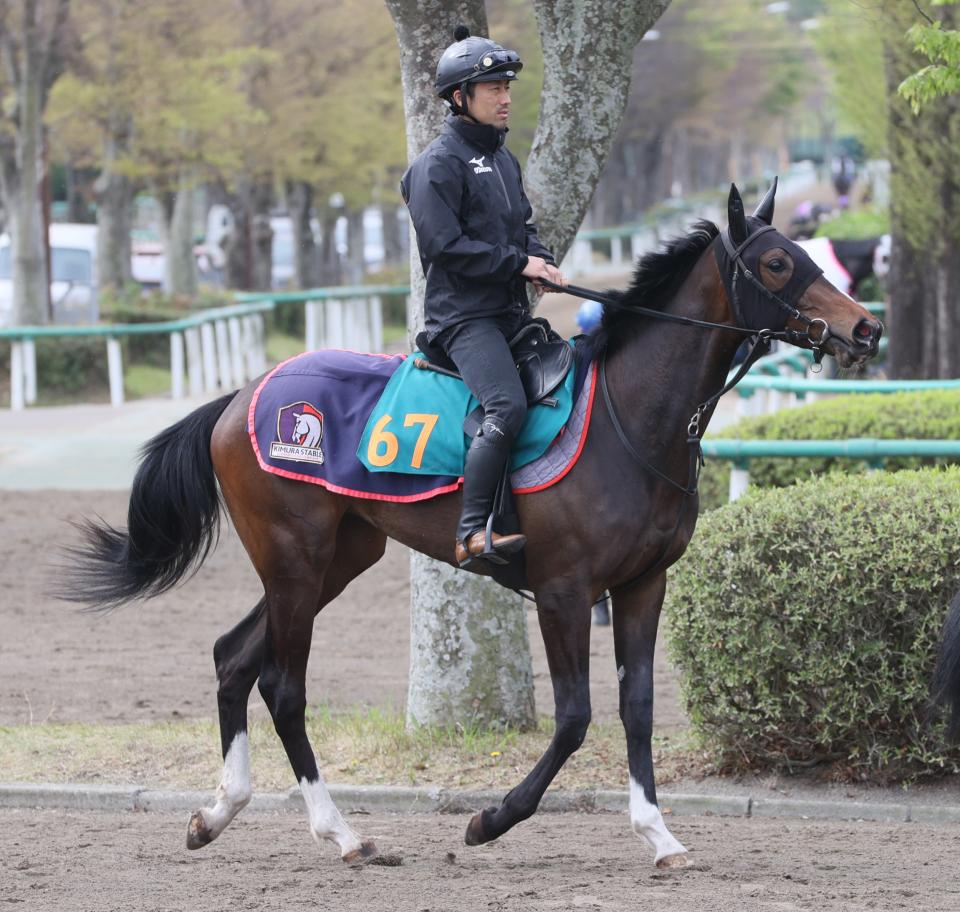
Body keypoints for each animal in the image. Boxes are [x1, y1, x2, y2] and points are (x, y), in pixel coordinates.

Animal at [63, 180, 880, 868]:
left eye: (810, 253)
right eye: (777, 262)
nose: (866, 328)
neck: (628, 418)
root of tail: (243, 398)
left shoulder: (643, 585)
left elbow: (638, 708)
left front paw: (658, 833)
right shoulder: (563, 590)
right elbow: (575, 717)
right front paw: (492, 819)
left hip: (337, 558)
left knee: (233, 658)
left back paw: (219, 812)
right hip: (296, 560)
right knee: (281, 686)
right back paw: (342, 833)